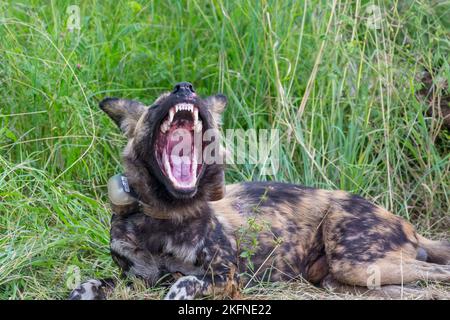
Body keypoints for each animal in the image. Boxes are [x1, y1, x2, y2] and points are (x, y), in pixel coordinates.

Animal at [69, 82, 450, 300]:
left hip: (354, 262)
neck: (167, 217)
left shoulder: (225, 277)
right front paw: (82, 291)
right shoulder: (135, 279)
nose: (184, 87)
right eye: (154, 106)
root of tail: (406, 223)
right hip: (348, 277)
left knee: (438, 273)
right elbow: (89, 283)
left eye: (192, 94)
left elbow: (184, 282)